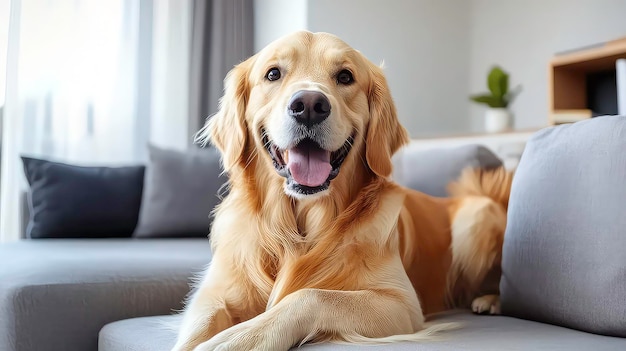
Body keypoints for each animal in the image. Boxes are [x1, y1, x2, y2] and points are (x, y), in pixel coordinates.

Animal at [172, 31, 512, 351]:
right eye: (273, 74)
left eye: (345, 76)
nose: (309, 106)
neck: (299, 230)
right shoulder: (216, 294)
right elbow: (198, 326)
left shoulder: (402, 303)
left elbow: (311, 295)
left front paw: (242, 338)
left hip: (475, 217)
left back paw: (490, 301)